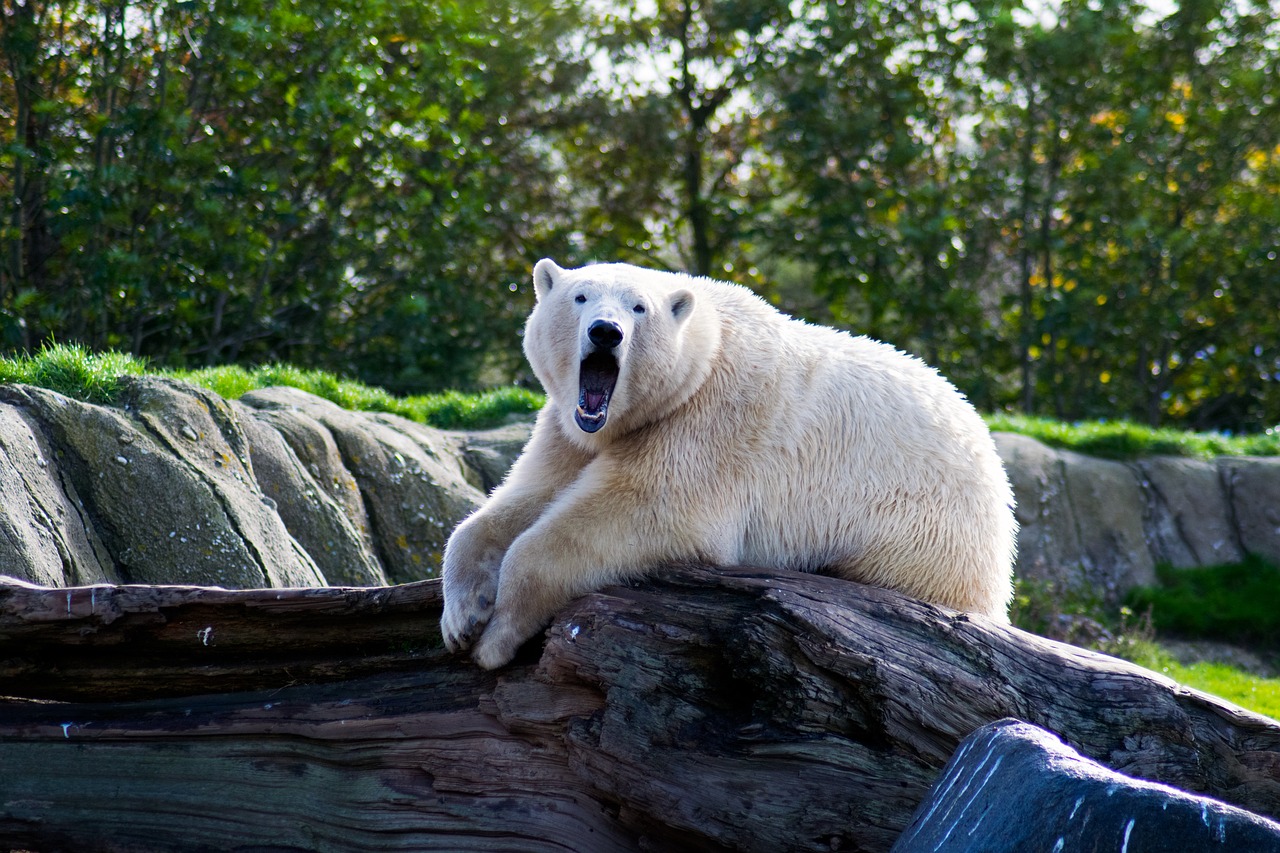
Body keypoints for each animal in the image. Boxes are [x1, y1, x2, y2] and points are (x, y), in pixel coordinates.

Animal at [442, 256, 1018, 666]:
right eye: (580, 296)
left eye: (638, 308)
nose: (605, 330)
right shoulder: (571, 433)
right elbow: (523, 499)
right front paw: (461, 616)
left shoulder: (711, 419)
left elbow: (639, 510)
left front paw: (497, 635)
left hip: (924, 531)